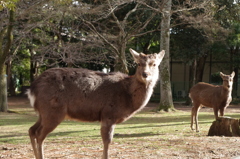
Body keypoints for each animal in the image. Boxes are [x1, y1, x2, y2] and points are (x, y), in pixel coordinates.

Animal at [26, 48, 165, 159]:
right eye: (139, 63)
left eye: (154, 64)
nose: (145, 74)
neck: (127, 96)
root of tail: (32, 89)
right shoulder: (108, 114)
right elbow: (107, 141)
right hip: (53, 111)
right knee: (39, 135)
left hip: (43, 112)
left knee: (32, 130)